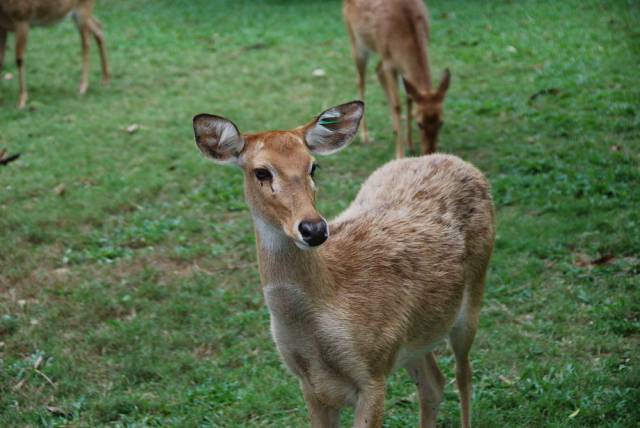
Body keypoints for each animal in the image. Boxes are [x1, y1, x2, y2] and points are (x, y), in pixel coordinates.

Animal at [192, 101, 498, 428]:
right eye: (261, 172)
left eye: (313, 166)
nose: (314, 229)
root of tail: (453, 160)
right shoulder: (308, 382)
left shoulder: (374, 371)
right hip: (415, 337)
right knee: (433, 383)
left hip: (472, 298)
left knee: (463, 375)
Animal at [342, 0, 452, 159]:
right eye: (419, 124)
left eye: (441, 122)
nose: (430, 152)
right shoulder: (389, 62)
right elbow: (397, 105)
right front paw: (400, 154)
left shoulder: (399, 65)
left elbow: (409, 98)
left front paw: (410, 145)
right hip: (356, 41)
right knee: (360, 81)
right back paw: (365, 136)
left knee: (378, 70)